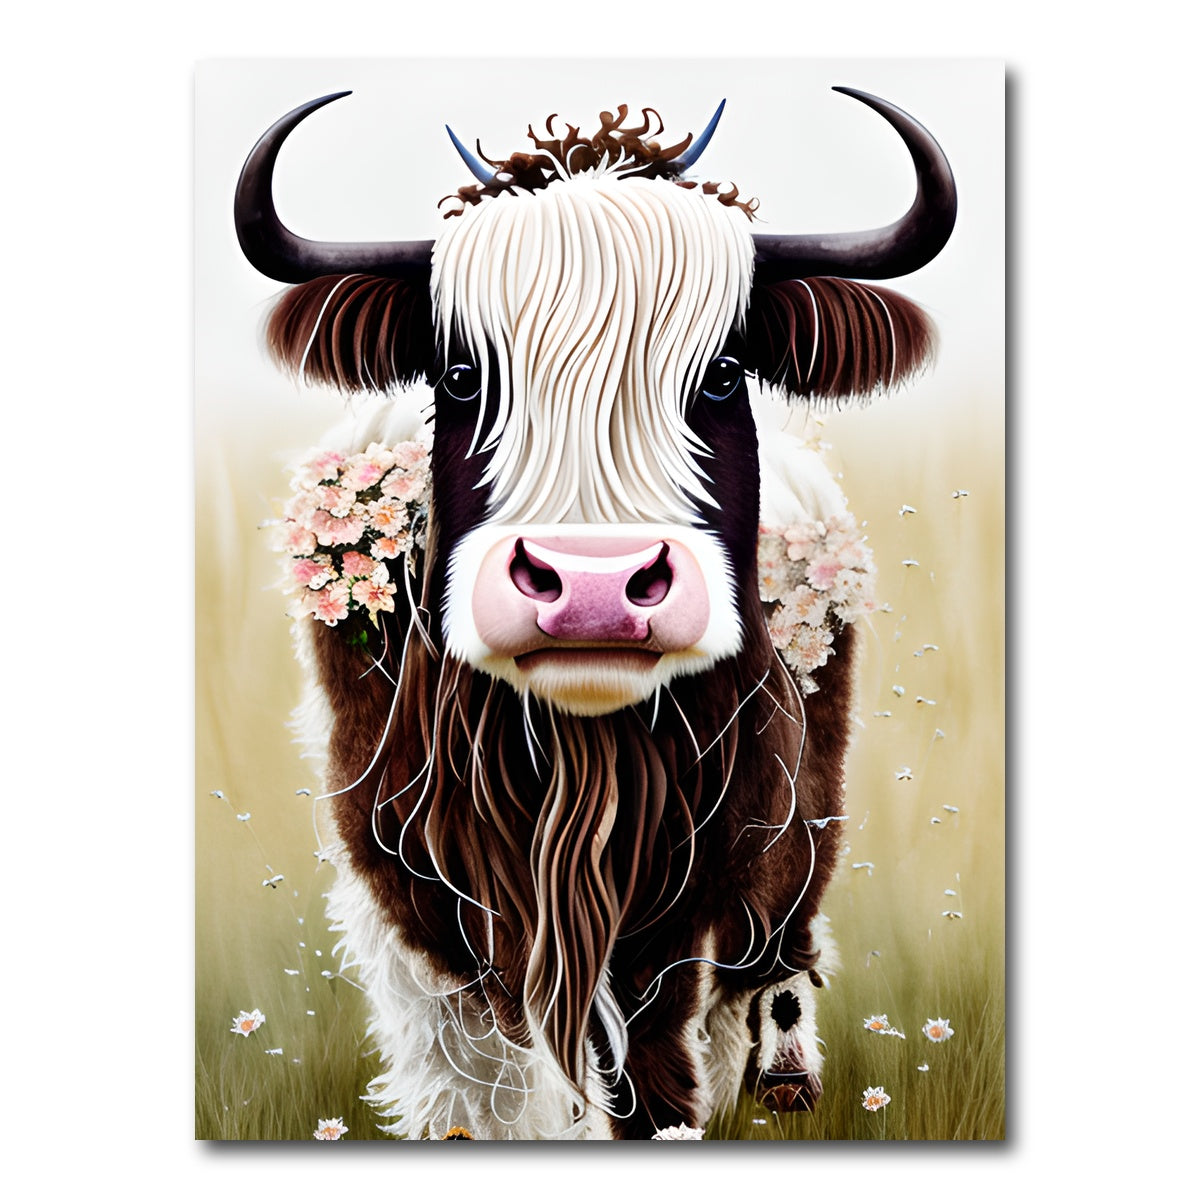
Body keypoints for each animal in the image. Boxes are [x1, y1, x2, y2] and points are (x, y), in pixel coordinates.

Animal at [234, 88, 955, 1140]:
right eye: (461, 377)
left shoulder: (697, 883)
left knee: (777, 951)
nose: (592, 588)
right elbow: (470, 1075)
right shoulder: (409, 887)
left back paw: (784, 1075)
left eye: (723, 373)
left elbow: (654, 1064)